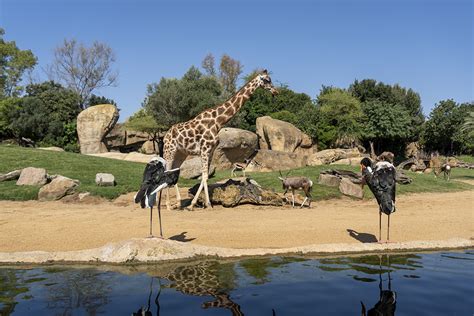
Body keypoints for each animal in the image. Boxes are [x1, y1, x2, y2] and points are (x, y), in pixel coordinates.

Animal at [163, 70, 278, 211]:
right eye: (267, 80)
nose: (276, 91)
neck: (218, 121)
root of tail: (166, 135)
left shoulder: (211, 150)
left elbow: (205, 176)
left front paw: (206, 204)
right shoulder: (204, 149)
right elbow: (204, 176)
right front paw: (193, 204)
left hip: (181, 153)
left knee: (174, 172)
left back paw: (178, 203)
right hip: (169, 150)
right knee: (166, 172)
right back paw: (168, 205)